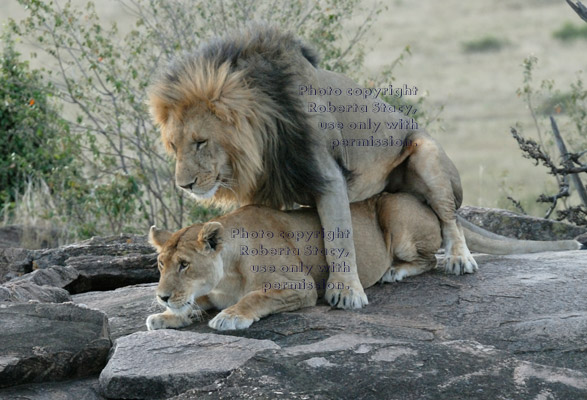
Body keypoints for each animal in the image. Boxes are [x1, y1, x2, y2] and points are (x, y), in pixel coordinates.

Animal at [150, 24, 474, 310]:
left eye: (200, 142)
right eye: (174, 146)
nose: (184, 185)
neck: (267, 135)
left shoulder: (329, 176)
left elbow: (338, 236)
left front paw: (346, 292)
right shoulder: (263, 190)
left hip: (426, 155)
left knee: (449, 217)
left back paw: (458, 259)